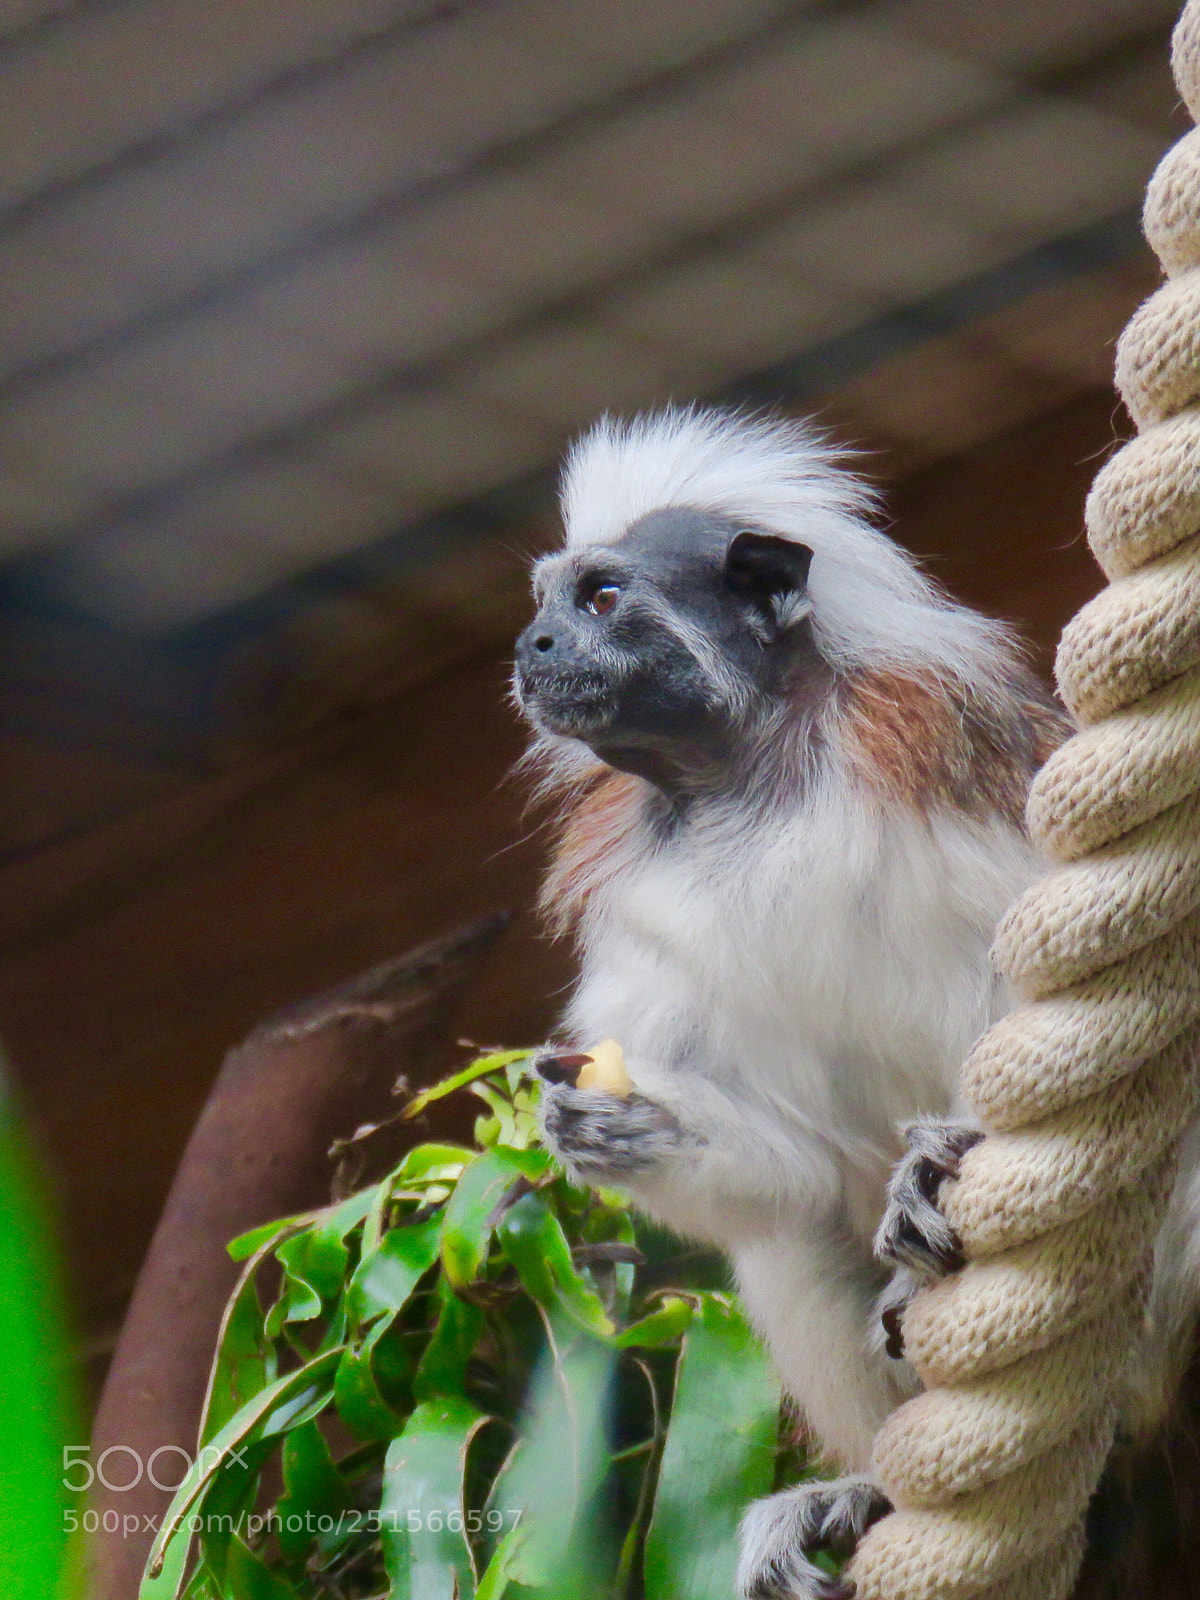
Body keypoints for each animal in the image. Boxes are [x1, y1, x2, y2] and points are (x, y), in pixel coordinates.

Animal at [510, 405, 1200, 1599]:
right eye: (549, 603)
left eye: (600, 598)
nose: (532, 647)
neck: (745, 783)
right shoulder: (642, 900)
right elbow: (788, 1163)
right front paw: (621, 1126)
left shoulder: (928, 749)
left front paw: (944, 1156)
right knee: (794, 1233)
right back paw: (870, 1481)